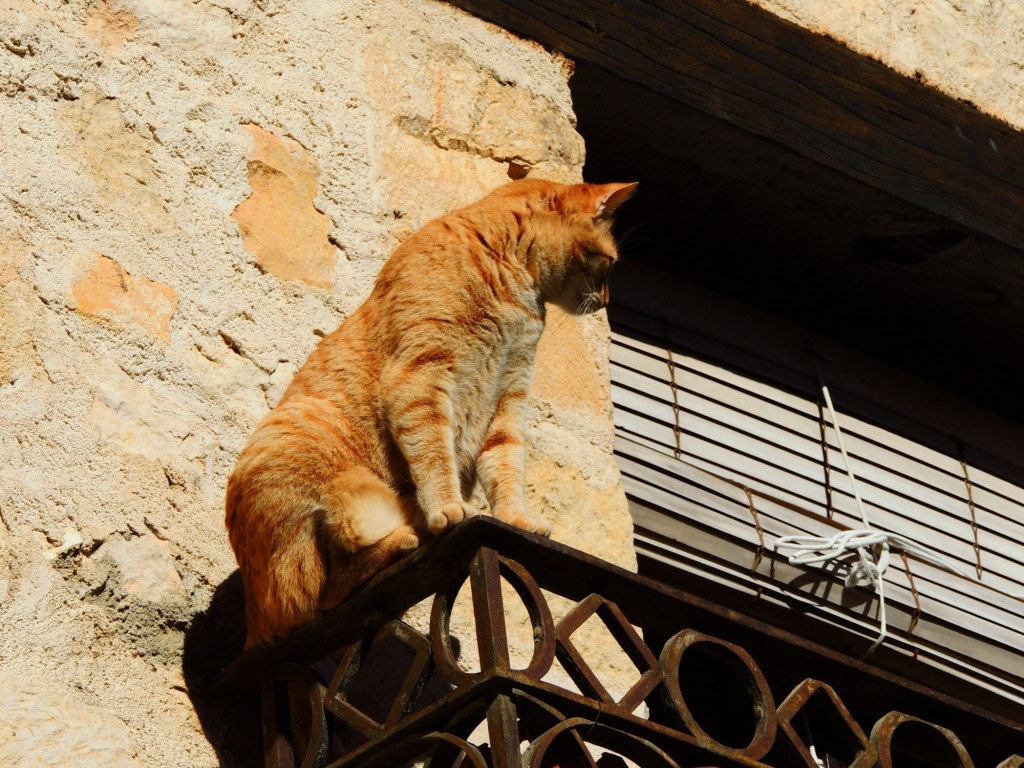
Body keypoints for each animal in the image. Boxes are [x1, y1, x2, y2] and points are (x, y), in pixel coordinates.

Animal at [228, 179, 634, 651]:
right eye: (609, 262)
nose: (606, 303)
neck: (515, 288)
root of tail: (253, 626)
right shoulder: (421, 378)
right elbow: (435, 455)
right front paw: (448, 507)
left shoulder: (507, 400)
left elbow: (507, 467)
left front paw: (514, 517)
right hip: (303, 447)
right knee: (322, 594)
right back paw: (407, 535)